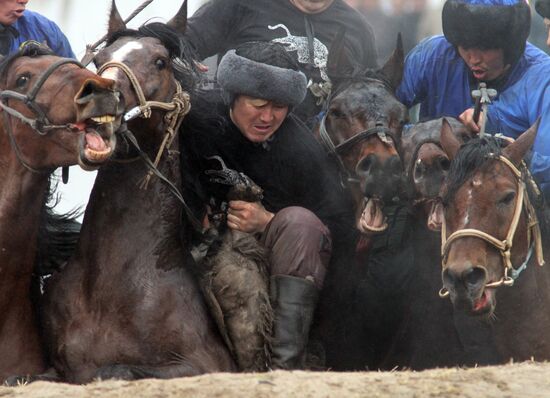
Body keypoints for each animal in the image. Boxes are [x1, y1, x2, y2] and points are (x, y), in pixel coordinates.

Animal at [33, 1, 235, 384]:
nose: (101, 96)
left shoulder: (203, 363)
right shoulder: (54, 367)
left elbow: (113, 368)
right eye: (100, 59)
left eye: (160, 61)